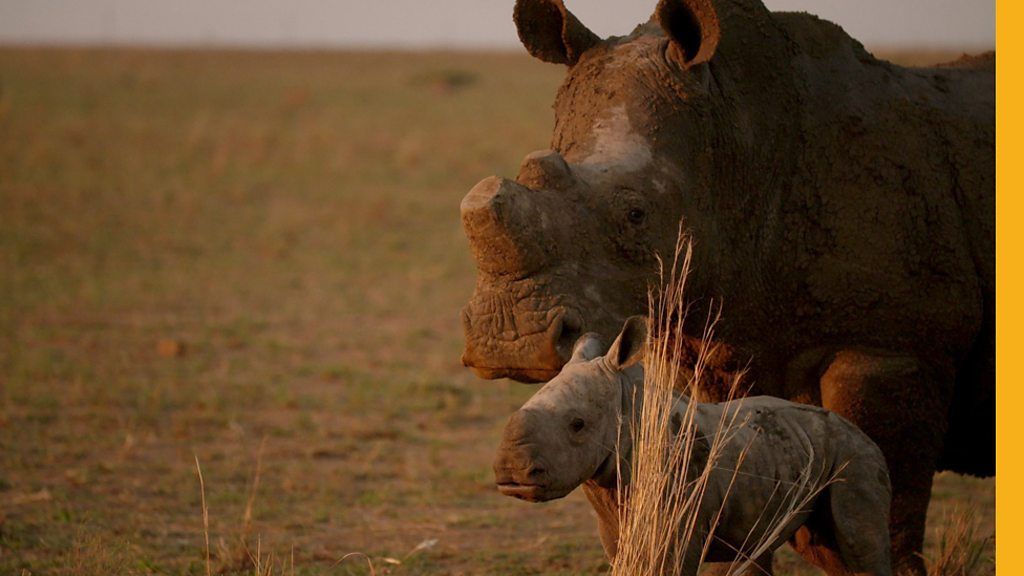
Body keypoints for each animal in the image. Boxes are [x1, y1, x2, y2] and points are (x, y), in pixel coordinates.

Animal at [491, 315, 892, 569]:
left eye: (577, 425)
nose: (509, 471)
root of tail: (854, 429)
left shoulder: (676, 519)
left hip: (856, 456)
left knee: (860, 547)